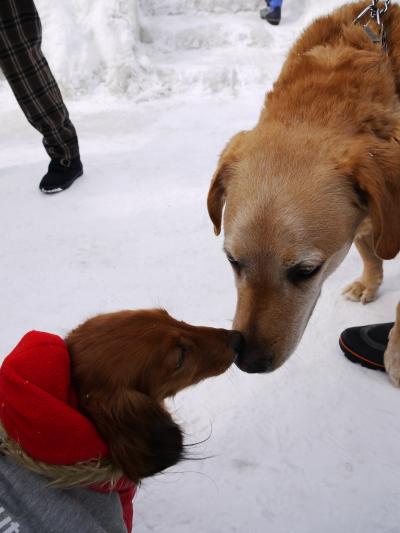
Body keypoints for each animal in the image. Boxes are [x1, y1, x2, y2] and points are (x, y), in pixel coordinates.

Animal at [208, 0, 400, 382]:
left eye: (306, 271)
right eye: (233, 261)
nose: (248, 362)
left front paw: (397, 352)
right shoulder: (362, 221)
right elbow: (370, 254)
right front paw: (369, 284)